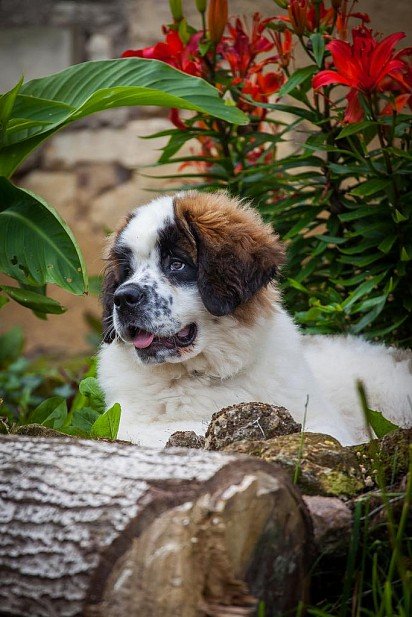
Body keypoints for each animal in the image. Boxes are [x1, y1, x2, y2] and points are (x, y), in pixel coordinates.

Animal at [97, 190, 412, 446]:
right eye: (127, 272)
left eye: (176, 264)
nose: (123, 297)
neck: (202, 374)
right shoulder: (126, 422)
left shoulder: (323, 423)